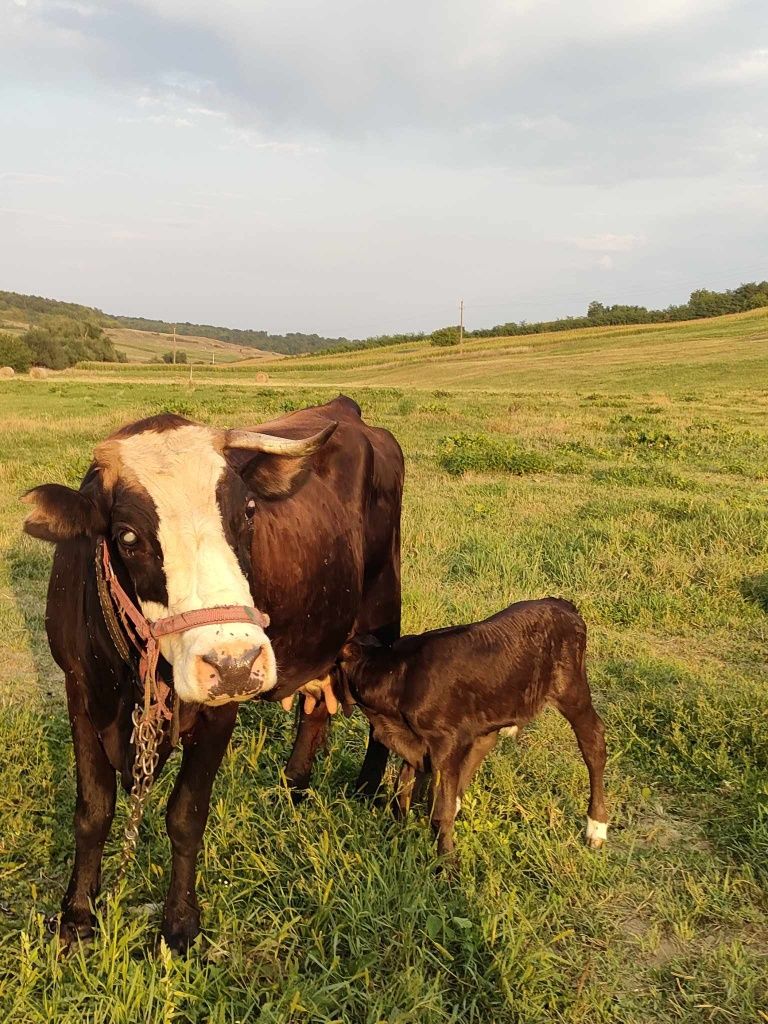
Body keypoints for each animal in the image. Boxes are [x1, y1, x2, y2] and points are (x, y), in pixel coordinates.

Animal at [335, 598, 606, 860]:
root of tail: (563, 604)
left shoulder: (445, 741)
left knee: (594, 743)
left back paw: (596, 827)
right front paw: (398, 836)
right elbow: (403, 789)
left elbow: (438, 810)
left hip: (571, 691)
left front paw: (445, 864)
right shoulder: (416, 743)